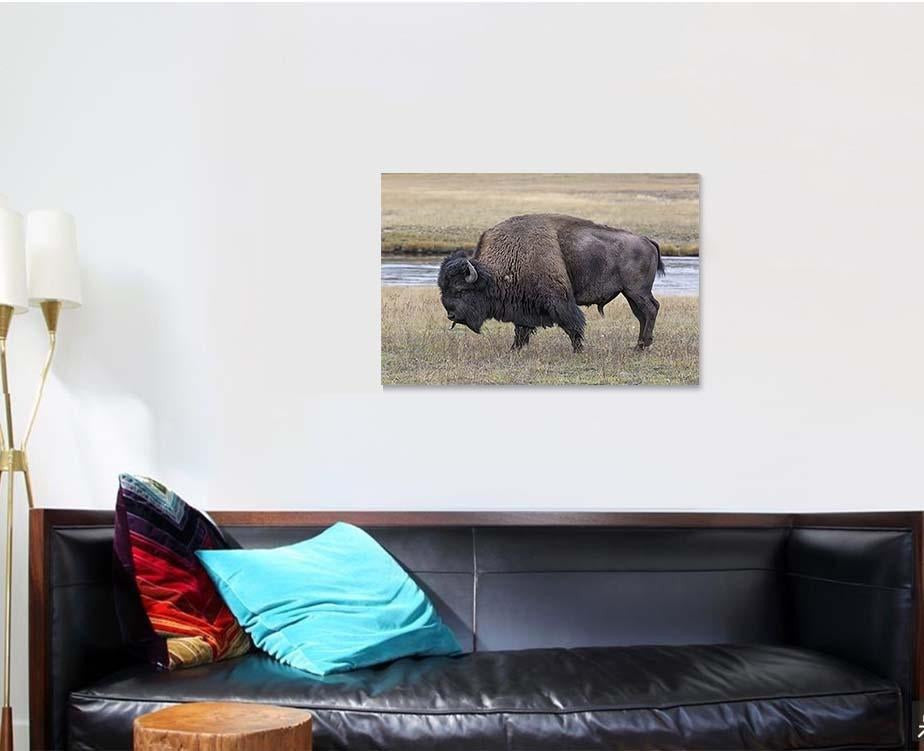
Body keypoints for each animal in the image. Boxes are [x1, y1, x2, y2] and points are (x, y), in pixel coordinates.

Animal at [438, 213, 664, 352]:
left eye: (460, 290)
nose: (451, 315)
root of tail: (647, 240)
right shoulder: (523, 307)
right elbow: (521, 329)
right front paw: (514, 349)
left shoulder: (558, 300)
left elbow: (572, 324)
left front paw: (578, 349)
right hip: (630, 294)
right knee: (642, 315)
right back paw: (639, 345)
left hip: (637, 291)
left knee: (650, 310)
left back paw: (643, 346)